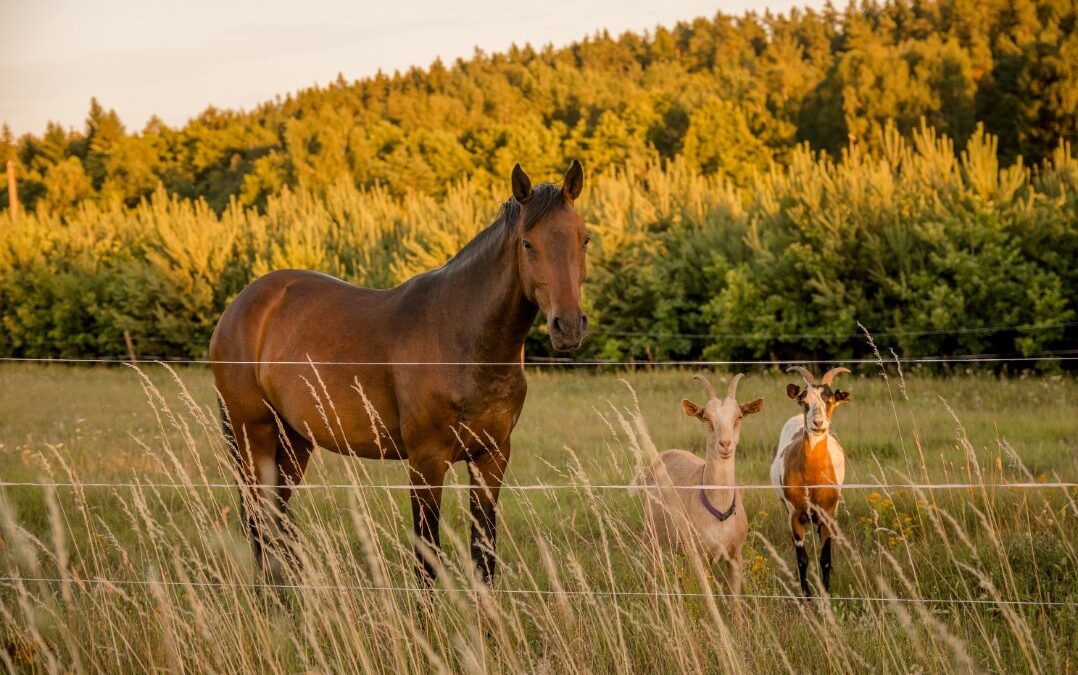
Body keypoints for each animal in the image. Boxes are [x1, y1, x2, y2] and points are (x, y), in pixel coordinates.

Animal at [210, 158, 590, 582]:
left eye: (584, 239)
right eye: (528, 243)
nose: (568, 326)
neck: (462, 339)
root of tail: (239, 306)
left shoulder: (492, 459)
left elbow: (483, 558)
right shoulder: (426, 462)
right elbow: (426, 560)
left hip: (293, 441)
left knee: (274, 522)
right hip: (253, 435)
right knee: (259, 521)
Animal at [638, 370, 767, 590]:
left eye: (739, 416)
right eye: (706, 418)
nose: (725, 444)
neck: (720, 512)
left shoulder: (735, 557)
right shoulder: (700, 557)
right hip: (651, 537)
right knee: (650, 578)